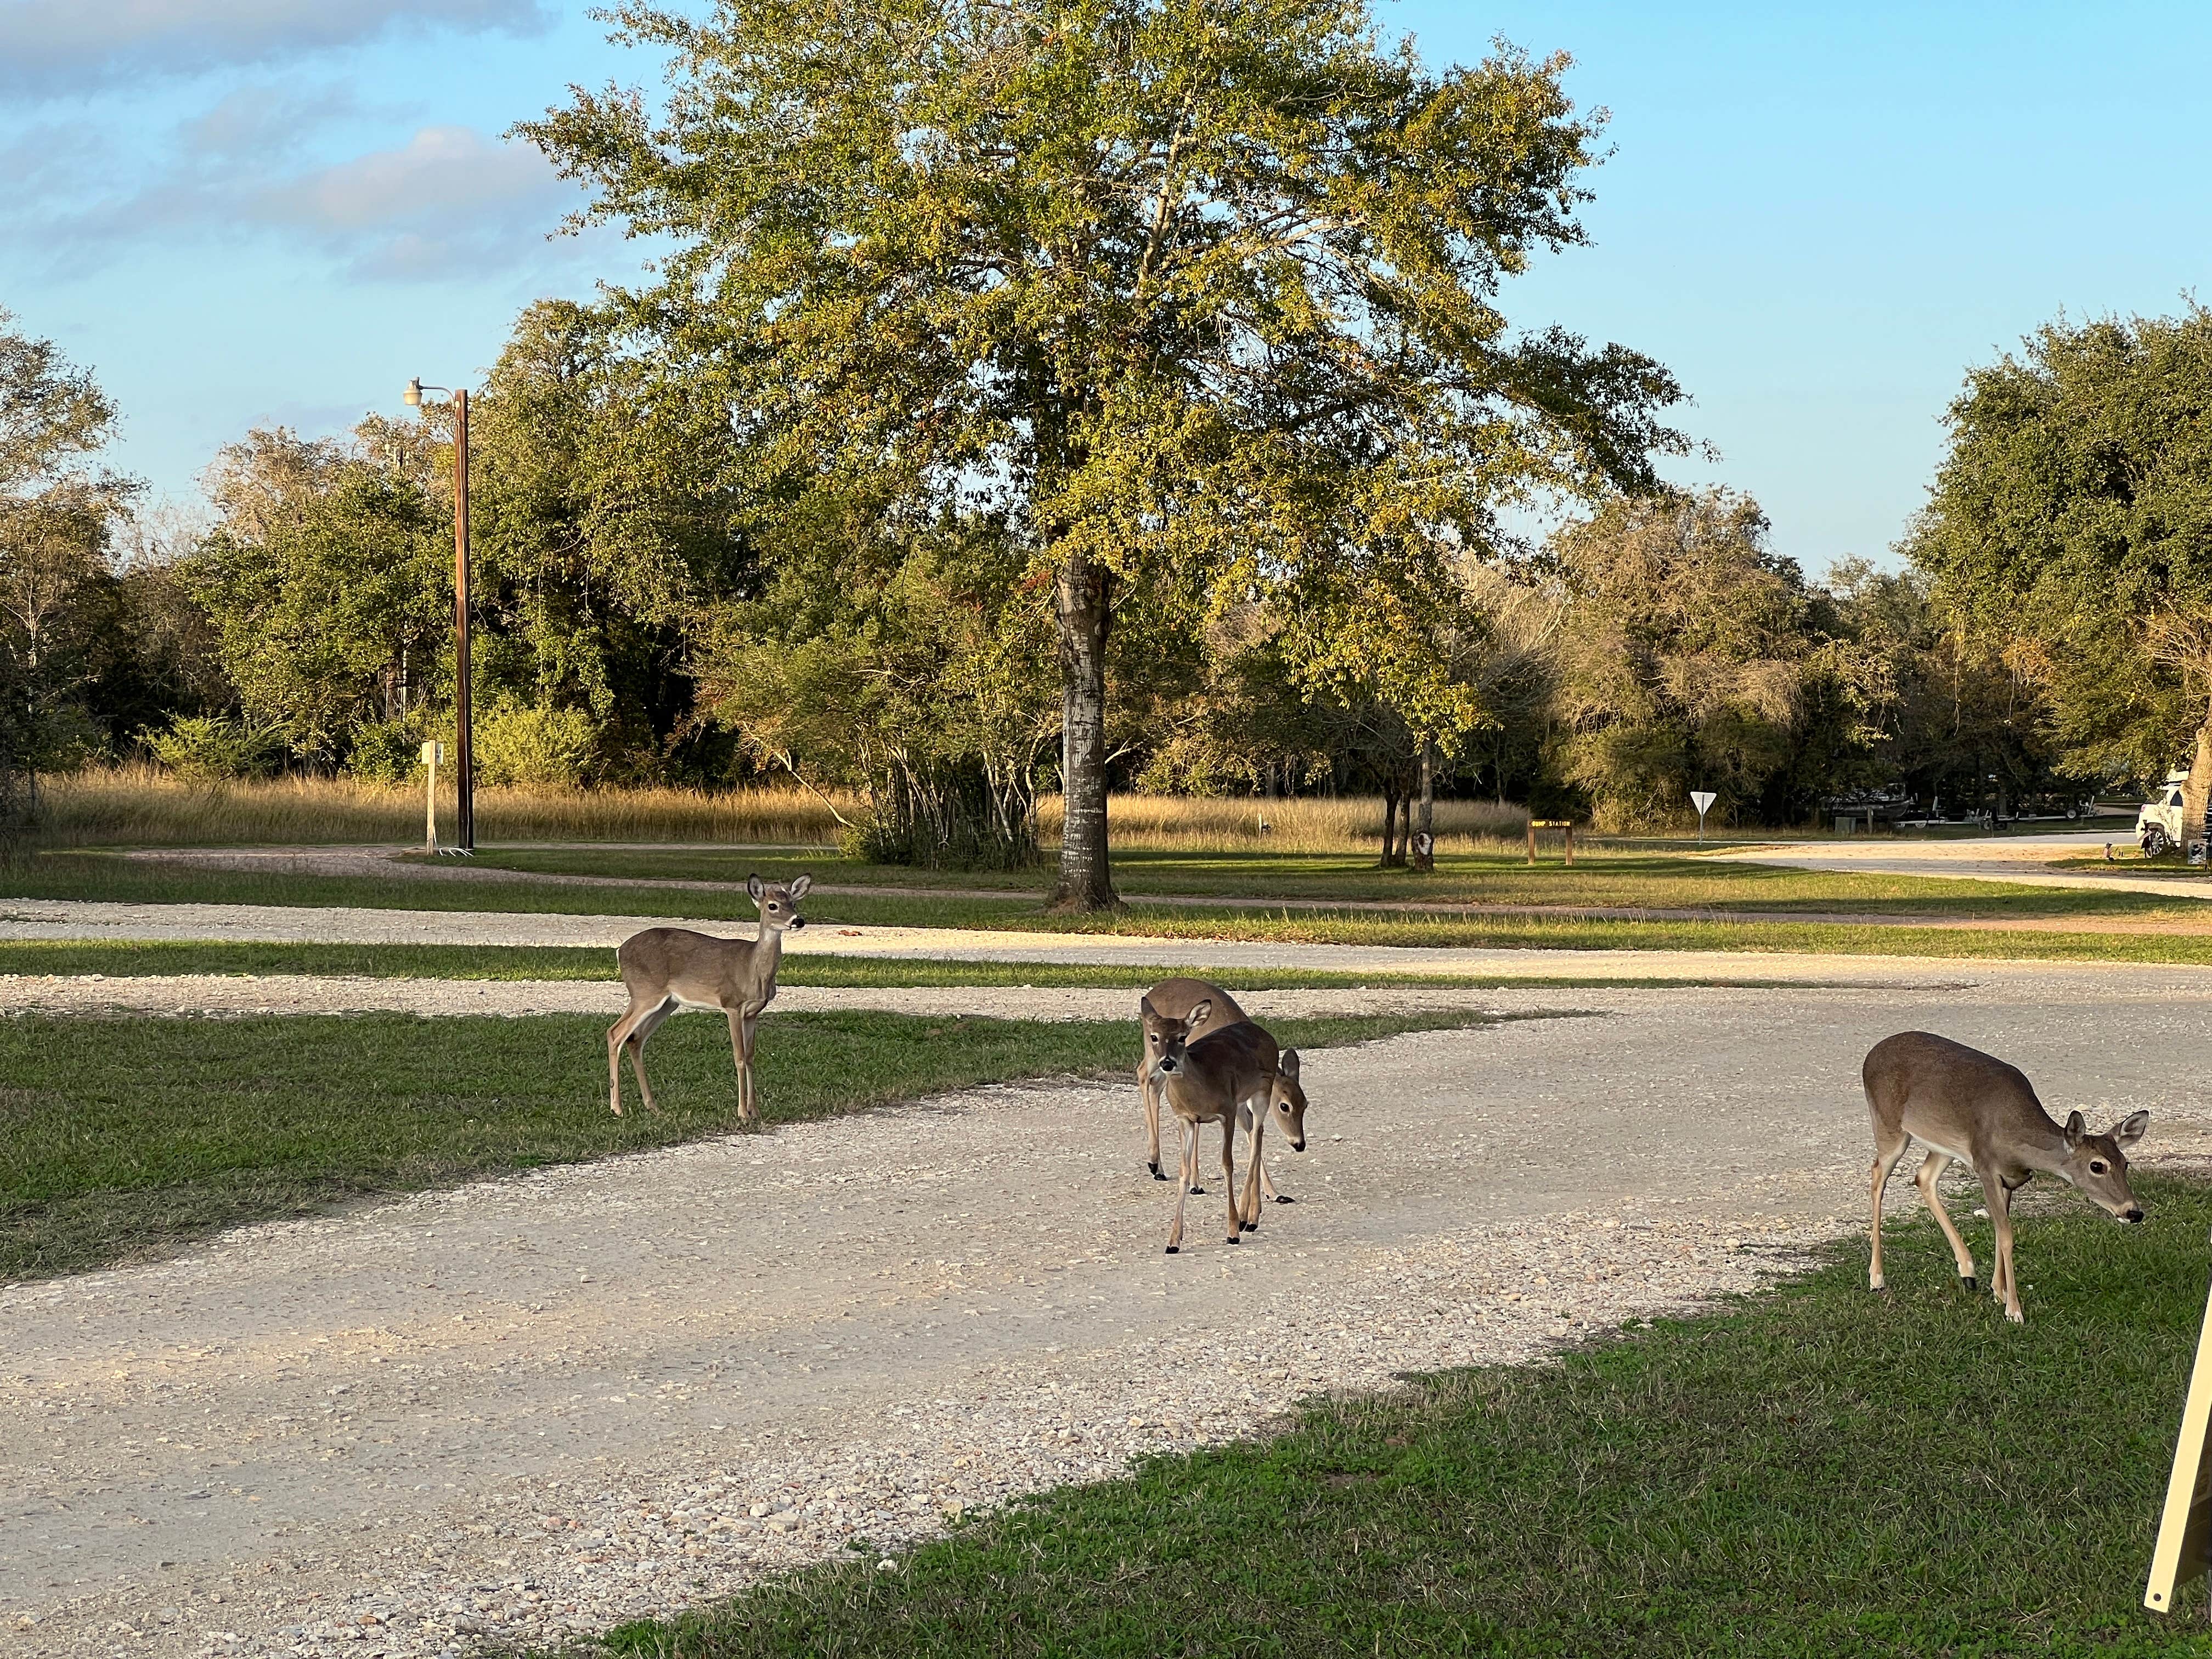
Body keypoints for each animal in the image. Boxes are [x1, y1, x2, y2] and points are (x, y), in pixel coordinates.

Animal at [606, 871, 814, 1132]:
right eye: (772, 905)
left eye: (793, 903)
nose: (798, 921)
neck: (753, 968)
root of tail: (619, 951)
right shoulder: (732, 1004)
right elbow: (739, 1057)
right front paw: (742, 1113)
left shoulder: (753, 1012)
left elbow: (751, 1057)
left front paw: (755, 1111)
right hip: (645, 993)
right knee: (615, 1033)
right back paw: (617, 1108)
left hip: (667, 1003)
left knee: (635, 1040)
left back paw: (653, 1106)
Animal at [1858, 1040, 2150, 1327]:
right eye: (2097, 1166)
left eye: (2125, 1163)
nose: (2133, 1212)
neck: (2015, 1138)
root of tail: (1872, 1053)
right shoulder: (1986, 1167)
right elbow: (2007, 1236)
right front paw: (2014, 1310)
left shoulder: (2010, 1179)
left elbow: (2000, 1233)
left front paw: (1999, 1291)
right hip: (1887, 1124)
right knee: (1877, 1176)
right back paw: (1876, 1277)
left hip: (1944, 1144)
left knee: (1924, 1178)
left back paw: (1967, 1271)